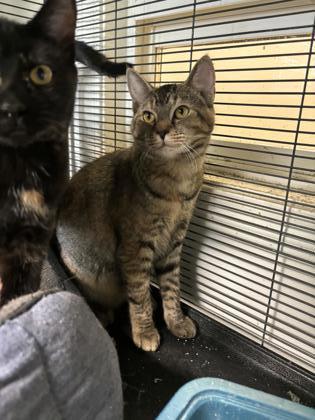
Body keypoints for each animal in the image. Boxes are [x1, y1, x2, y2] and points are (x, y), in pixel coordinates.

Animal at [56, 56, 216, 352]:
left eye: (181, 111)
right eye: (148, 116)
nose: (162, 131)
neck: (177, 182)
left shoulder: (174, 244)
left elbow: (171, 287)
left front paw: (175, 320)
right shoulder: (135, 246)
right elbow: (139, 293)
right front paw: (145, 330)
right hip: (89, 272)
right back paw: (102, 313)